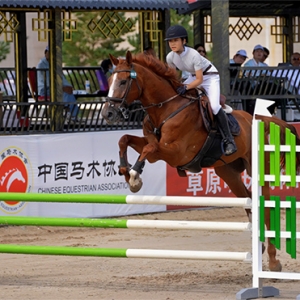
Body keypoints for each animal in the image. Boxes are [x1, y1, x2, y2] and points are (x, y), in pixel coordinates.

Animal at [102, 51, 300, 272]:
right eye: (109, 81)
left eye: (123, 81)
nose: (107, 113)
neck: (165, 109)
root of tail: (260, 120)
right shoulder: (156, 146)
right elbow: (125, 139)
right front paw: (124, 170)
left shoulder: (176, 153)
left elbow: (147, 149)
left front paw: (135, 177)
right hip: (227, 172)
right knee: (248, 200)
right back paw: (260, 247)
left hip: (257, 169)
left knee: (264, 207)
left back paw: (274, 262)